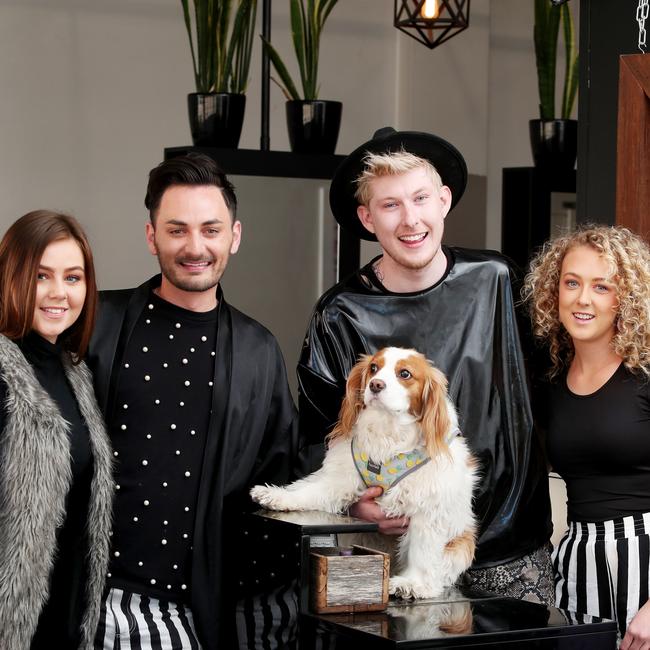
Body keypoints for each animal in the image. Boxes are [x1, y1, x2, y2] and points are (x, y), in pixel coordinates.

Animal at [249, 346, 476, 596]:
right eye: (374, 368)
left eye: (405, 374)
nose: (375, 384)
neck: (387, 429)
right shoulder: (340, 478)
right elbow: (308, 492)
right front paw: (275, 496)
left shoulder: (428, 506)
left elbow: (422, 550)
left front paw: (412, 583)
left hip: (463, 544)